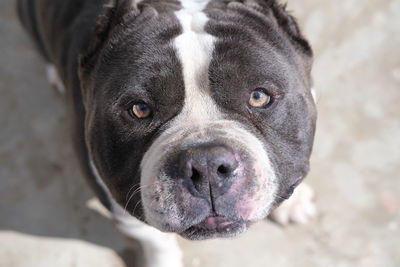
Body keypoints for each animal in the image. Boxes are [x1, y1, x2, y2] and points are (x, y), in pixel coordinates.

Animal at [17, 0, 318, 266]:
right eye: (139, 109)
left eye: (259, 96)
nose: (207, 166)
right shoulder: (122, 206)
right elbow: (157, 242)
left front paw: (294, 203)